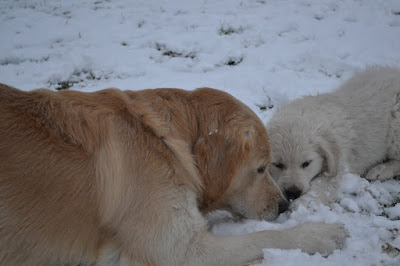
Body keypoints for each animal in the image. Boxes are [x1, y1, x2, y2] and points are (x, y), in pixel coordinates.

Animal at [0, 84, 346, 266]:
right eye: (262, 169)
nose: (286, 205)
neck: (165, 140)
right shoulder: (180, 252)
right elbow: (267, 236)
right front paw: (320, 234)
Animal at [268, 67, 400, 204]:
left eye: (306, 163)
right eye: (278, 165)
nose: (293, 193)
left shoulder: (335, 167)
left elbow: (320, 187)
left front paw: (301, 205)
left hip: (396, 126)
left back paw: (381, 170)